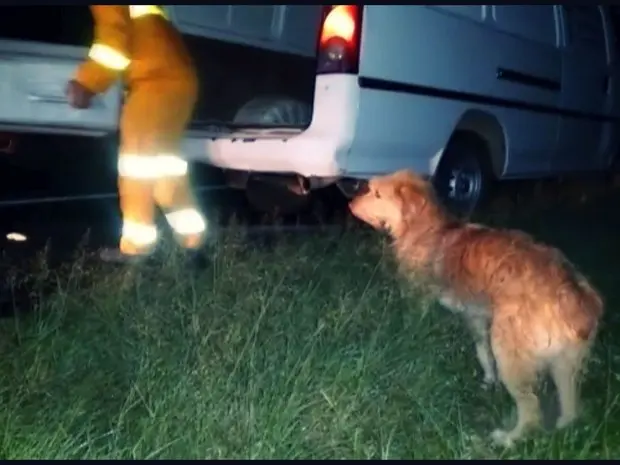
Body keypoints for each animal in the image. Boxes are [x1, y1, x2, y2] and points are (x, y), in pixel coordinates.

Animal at [352, 169, 604, 446]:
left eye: (376, 193)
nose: (350, 203)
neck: (425, 227)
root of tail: (575, 294)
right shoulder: (476, 317)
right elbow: (483, 353)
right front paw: (488, 381)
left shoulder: (418, 297)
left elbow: (413, 325)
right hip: (565, 367)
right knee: (569, 408)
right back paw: (562, 430)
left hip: (511, 354)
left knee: (531, 410)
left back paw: (509, 439)